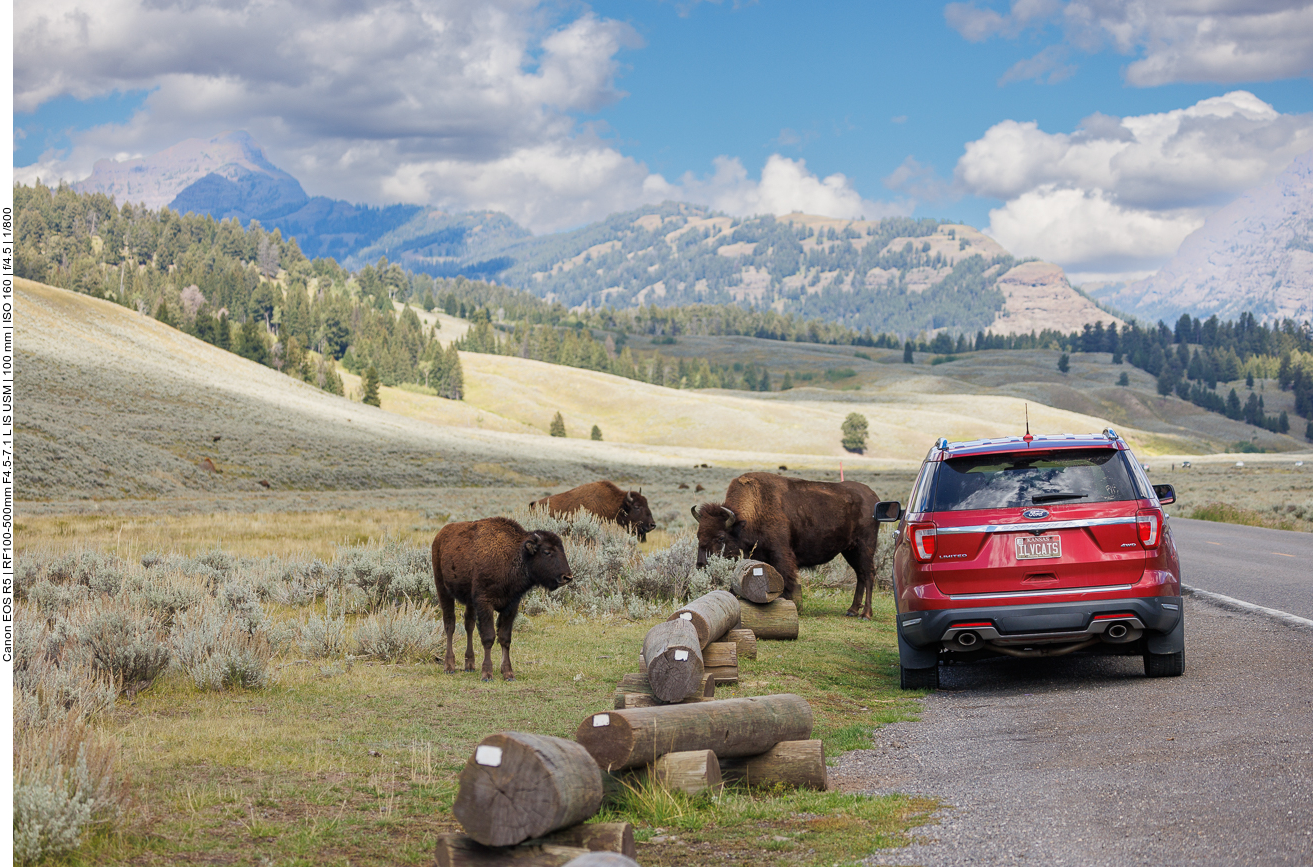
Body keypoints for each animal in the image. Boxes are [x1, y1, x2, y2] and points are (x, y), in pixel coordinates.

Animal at [433, 517, 572, 683]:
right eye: (547, 552)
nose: (567, 577)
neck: (514, 554)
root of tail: (440, 536)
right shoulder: (485, 603)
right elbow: (488, 637)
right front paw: (487, 674)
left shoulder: (511, 605)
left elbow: (505, 638)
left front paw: (508, 674)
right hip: (443, 590)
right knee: (450, 625)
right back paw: (449, 667)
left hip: (469, 601)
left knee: (469, 625)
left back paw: (470, 665)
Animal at [688, 470, 882, 620]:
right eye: (698, 535)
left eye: (721, 537)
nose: (701, 564)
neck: (755, 508)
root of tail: (873, 497)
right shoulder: (757, 553)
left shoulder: (781, 553)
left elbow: (785, 577)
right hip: (850, 550)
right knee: (860, 575)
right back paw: (852, 610)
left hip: (864, 547)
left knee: (869, 574)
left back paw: (865, 614)